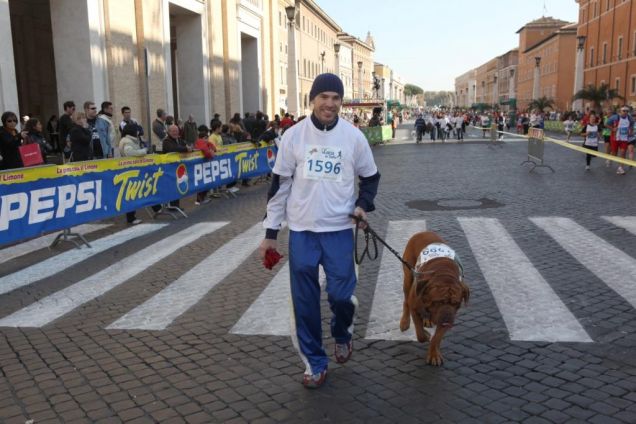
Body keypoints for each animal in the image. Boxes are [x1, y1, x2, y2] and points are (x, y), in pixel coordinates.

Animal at [400, 230, 470, 366]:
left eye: (456, 303)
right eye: (438, 302)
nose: (447, 316)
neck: (444, 275)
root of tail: (423, 232)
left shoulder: (446, 320)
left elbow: (437, 338)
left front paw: (434, 354)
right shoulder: (415, 308)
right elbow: (420, 333)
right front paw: (426, 335)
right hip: (408, 276)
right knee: (406, 301)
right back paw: (405, 322)